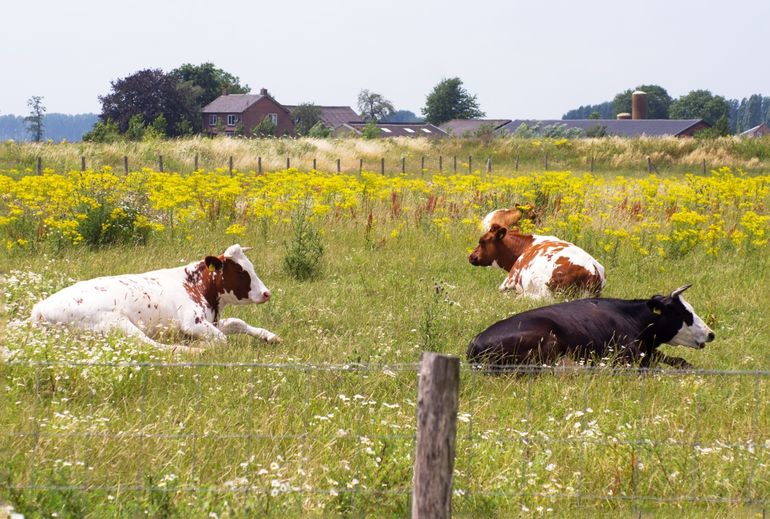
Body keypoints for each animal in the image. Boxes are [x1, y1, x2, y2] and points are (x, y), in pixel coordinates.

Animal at [30, 245, 278, 354]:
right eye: (241, 272)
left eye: (251, 267)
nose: (267, 293)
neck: (196, 284)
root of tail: (40, 308)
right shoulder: (192, 322)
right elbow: (221, 339)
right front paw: (202, 345)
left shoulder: (212, 320)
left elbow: (237, 323)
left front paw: (270, 336)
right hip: (116, 325)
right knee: (151, 345)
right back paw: (189, 350)